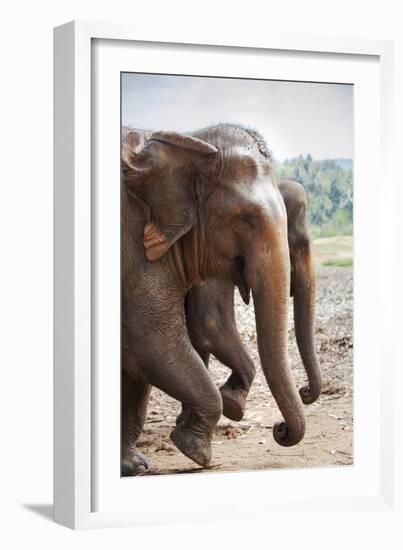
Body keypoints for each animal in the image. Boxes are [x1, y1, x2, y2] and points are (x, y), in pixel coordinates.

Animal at [121, 123, 308, 476]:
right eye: (246, 218)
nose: (279, 429)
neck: (189, 140)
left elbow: (139, 360)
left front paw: (135, 466)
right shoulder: (135, 248)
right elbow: (154, 339)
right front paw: (197, 452)